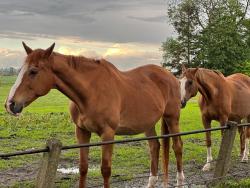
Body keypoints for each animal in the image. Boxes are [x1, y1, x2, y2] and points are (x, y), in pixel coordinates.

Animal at [4, 43, 185, 188]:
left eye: (33, 71)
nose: (10, 104)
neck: (90, 92)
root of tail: (171, 76)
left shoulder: (108, 134)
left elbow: (105, 169)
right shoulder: (82, 132)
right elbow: (83, 168)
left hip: (172, 118)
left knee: (177, 146)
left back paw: (180, 181)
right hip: (148, 124)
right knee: (154, 147)